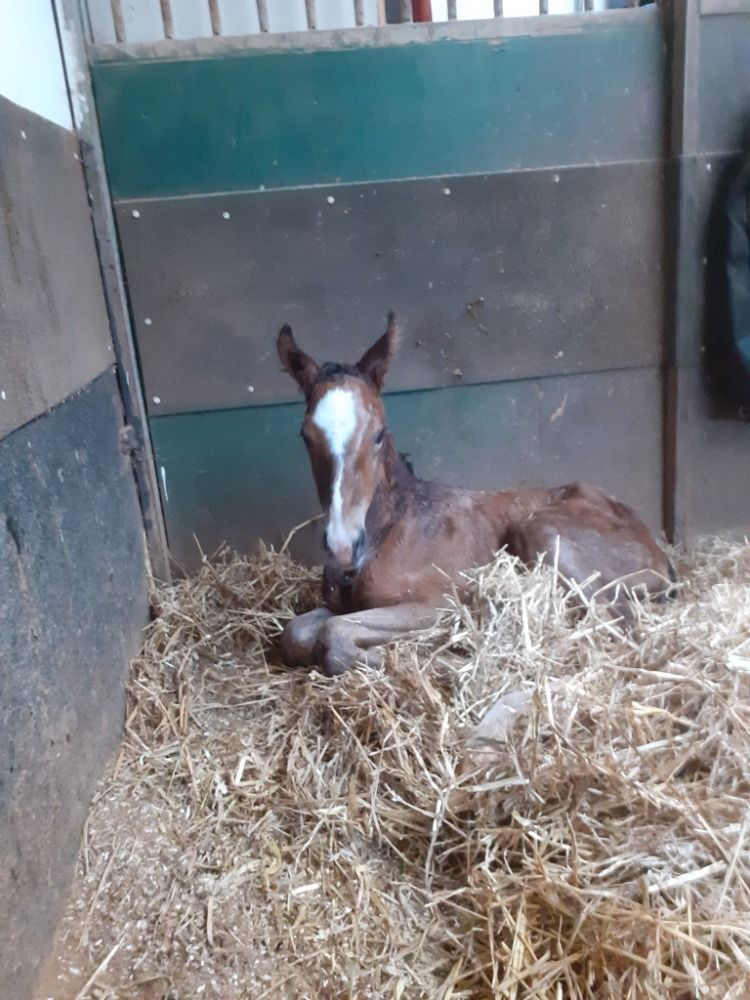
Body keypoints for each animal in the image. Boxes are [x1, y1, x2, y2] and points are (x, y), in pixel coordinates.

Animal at [276, 313, 674, 677]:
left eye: (378, 434)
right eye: (305, 436)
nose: (342, 546)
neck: (394, 526)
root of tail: (659, 553)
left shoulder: (435, 605)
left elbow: (334, 635)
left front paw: (412, 662)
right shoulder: (339, 606)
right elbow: (296, 633)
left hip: (541, 532)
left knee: (617, 623)